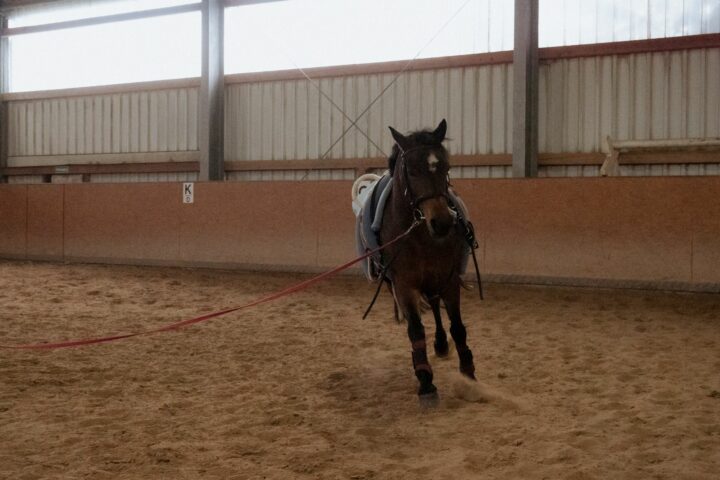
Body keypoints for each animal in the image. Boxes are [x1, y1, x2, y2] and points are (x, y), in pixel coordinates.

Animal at [378, 119, 477, 403]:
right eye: (411, 170)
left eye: (446, 167)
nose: (442, 223)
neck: (420, 236)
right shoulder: (404, 286)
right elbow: (416, 331)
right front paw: (425, 381)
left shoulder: (449, 279)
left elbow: (458, 326)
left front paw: (469, 372)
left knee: (434, 305)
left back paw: (442, 345)